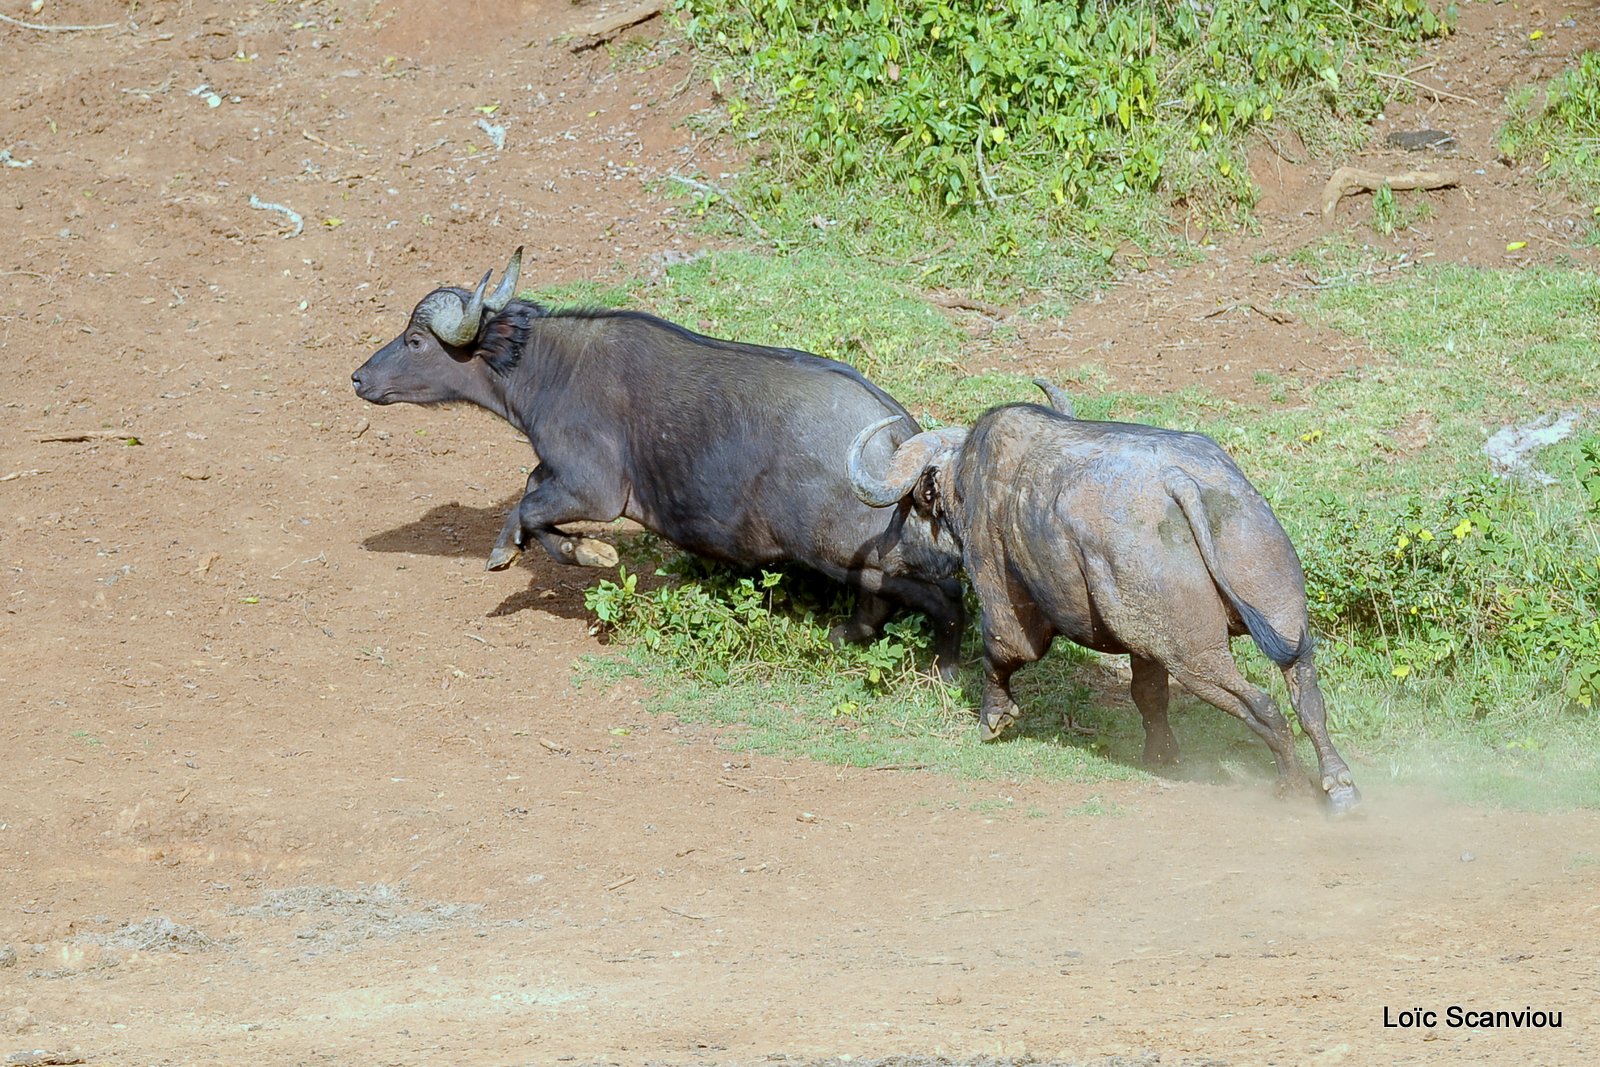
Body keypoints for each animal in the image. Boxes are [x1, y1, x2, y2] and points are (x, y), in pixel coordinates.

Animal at [844, 396, 1356, 812]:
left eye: (916, 500)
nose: (889, 550)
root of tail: (1183, 482)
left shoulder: (1005, 599)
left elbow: (1003, 653)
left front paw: (994, 717)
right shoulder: (1145, 643)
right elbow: (1148, 693)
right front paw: (1162, 756)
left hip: (1194, 654)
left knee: (1263, 705)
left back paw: (1292, 785)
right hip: (1276, 608)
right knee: (1307, 696)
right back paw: (1338, 783)